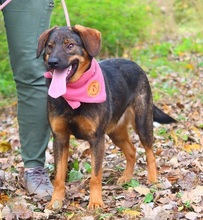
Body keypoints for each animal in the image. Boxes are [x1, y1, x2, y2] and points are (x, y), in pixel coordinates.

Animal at [36, 24, 176, 211]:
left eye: (70, 45)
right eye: (50, 46)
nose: (52, 62)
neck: (73, 96)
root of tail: (134, 63)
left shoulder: (96, 140)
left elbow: (96, 176)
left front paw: (95, 201)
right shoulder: (60, 138)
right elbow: (59, 176)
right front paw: (56, 201)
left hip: (142, 122)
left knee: (149, 152)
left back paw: (152, 179)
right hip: (115, 132)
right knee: (132, 151)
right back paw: (126, 177)